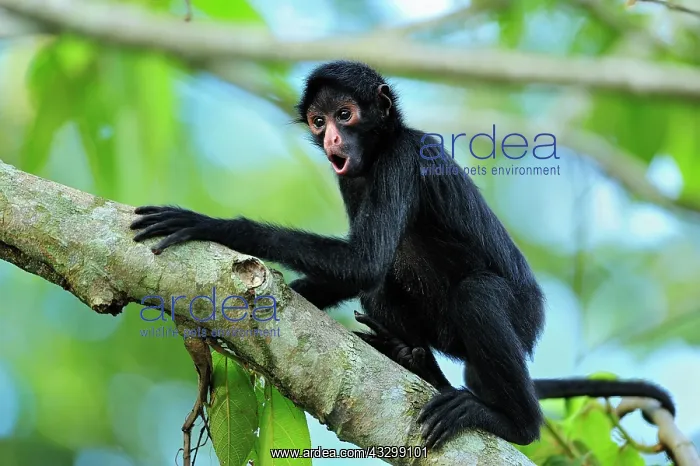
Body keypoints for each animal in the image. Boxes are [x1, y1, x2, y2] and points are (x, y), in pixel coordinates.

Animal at [130, 60, 676, 450]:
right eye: (318, 120)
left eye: (345, 115)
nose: (331, 137)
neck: (377, 151)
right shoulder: (348, 178)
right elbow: (356, 272)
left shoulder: (400, 159)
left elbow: (365, 261)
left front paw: (211, 225)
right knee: (382, 289)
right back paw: (415, 359)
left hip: (520, 317)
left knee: (475, 294)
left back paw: (514, 422)